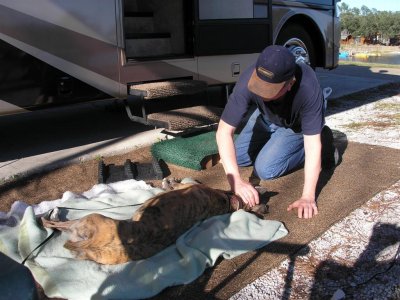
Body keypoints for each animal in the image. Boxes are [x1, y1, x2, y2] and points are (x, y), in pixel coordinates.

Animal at [41, 179, 268, 264]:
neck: (225, 202)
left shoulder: (188, 185)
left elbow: (176, 183)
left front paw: (168, 181)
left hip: (91, 218)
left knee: (53, 227)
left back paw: (49, 216)